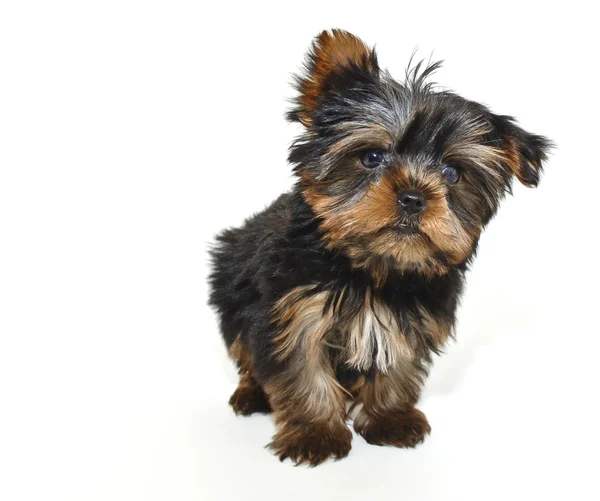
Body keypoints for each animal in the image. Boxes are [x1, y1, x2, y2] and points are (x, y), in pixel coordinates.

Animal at [209, 28, 552, 464]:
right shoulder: (292, 313)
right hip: (230, 284)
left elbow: (397, 368)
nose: (413, 197)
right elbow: (302, 373)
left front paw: (389, 419)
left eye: (452, 173)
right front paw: (315, 432)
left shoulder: (412, 320)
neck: (374, 268)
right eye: (372, 157)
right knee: (244, 350)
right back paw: (250, 393)